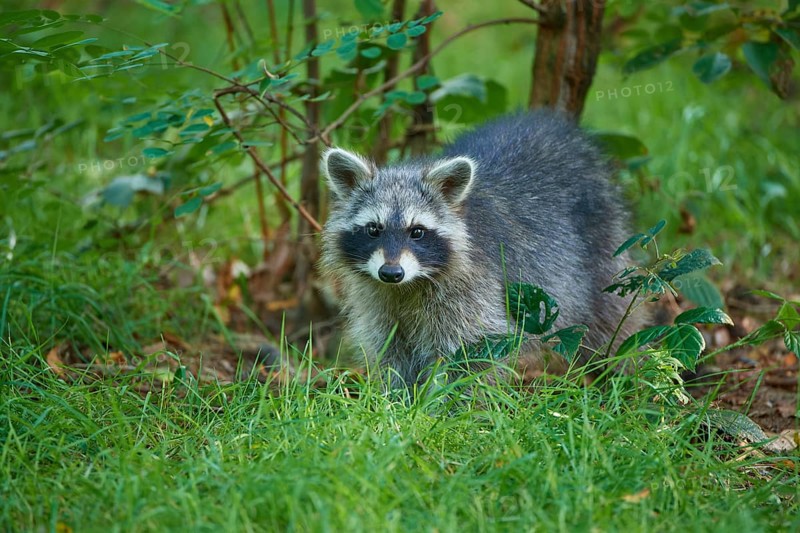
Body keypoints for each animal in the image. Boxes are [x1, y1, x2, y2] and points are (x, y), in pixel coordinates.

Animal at [320, 111, 635, 389]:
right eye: (374, 229)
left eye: (417, 232)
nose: (391, 272)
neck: (408, 286)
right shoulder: (379, 299)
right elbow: (390, 350)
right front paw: (398, 400)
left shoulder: (474, 291)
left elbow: (473, 352)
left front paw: (448, 407)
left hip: (603, 250)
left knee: (610, 322)